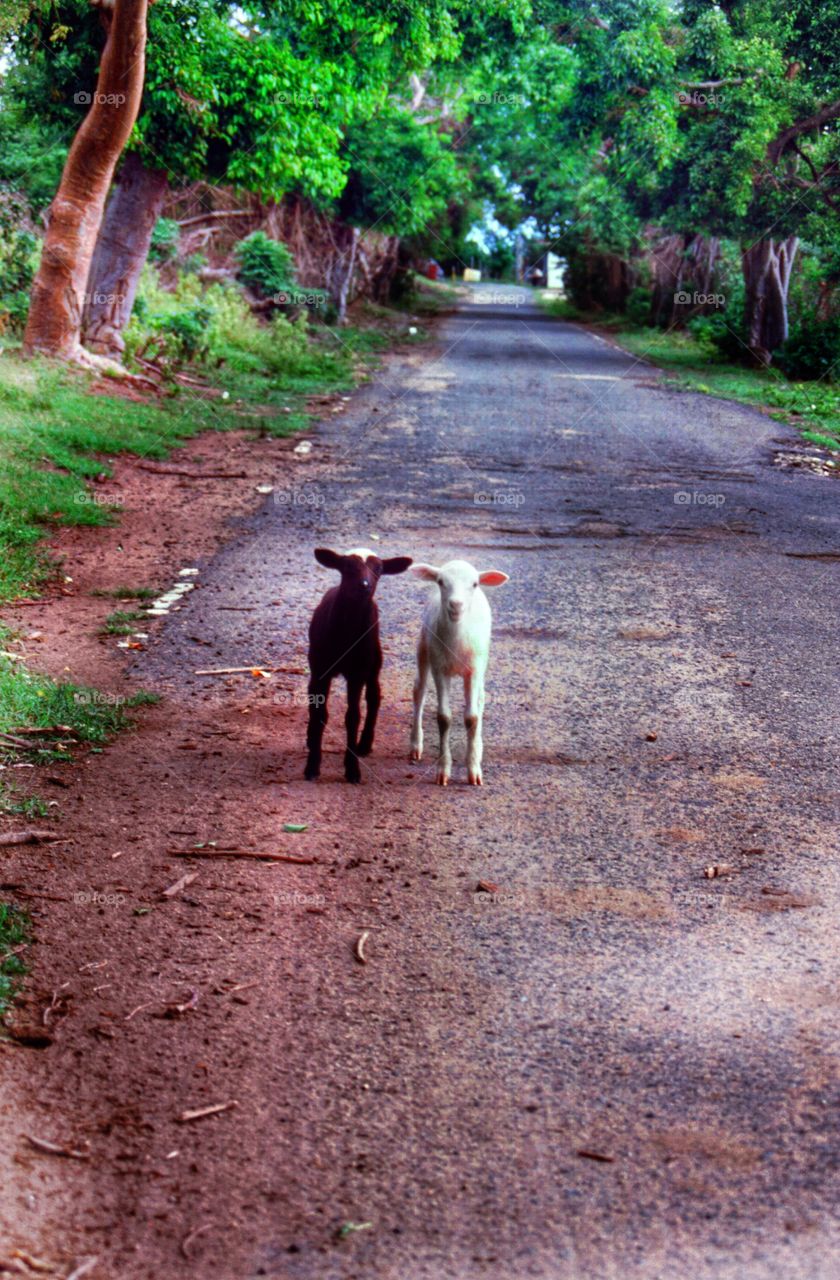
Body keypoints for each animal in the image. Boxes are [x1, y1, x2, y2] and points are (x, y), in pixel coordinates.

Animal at [305, 547, 412, 783]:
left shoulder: (357, 673)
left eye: (379, 569)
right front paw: (312, 767)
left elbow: (352, 717)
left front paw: (352, 769)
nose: (365, 585)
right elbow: (319, 713)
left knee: (374, 697)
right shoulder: (320, 671)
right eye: (347, 567)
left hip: (373, 662)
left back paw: (364, 744)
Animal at [409, 559, 509, 786]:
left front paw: (473, 769)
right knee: (419, 691)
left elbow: (471, 717)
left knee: (480, 698)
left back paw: (477, 747)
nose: (456, 605)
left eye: (474, 584)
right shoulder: (440, 669)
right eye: (440, 581)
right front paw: (443, 771)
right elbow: (444, 718)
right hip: (424, 646)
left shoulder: (473, 669)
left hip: (481, 661)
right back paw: (415, 745)